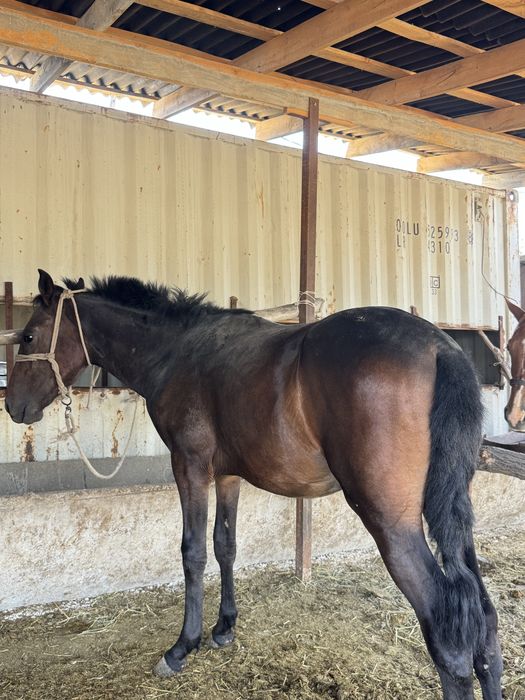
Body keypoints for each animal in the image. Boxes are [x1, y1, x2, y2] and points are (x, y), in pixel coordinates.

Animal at [5, 269, 502, 700]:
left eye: (28, 336)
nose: (13, 407)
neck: (178, 350)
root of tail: (440, 347)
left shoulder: (190, 466)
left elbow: (193, 551)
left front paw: (183, 646)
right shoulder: (227, 475)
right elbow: (225, 545)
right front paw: (225, 627)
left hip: (391, 522)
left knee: (448, 631)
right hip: (454, 522)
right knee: (484, 623)